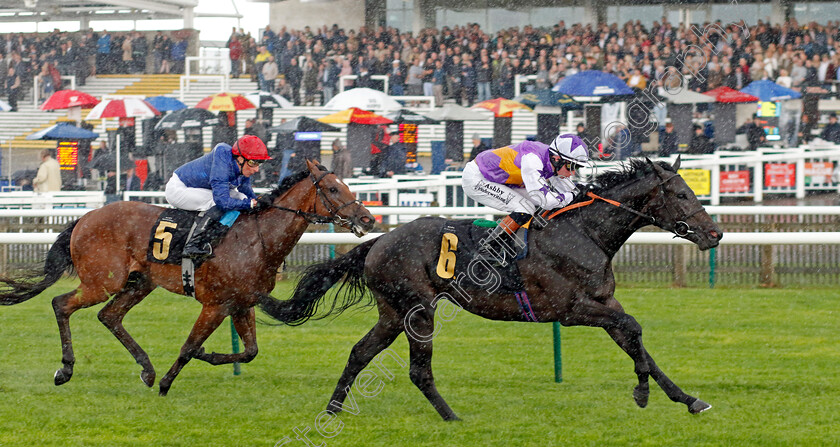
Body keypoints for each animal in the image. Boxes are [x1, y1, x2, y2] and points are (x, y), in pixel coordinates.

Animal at [0, 160, 374, 396]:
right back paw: (66, 369)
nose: (367, 219)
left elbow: (249, 351)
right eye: (332, 189)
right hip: (101, 282)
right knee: (61, 304)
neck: (258, 239)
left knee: (109, 316)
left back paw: (147, 370)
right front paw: (168, 383)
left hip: (139, 282)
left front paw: (207, 358)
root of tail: (85, 216)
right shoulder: (216, 304)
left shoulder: (242, 304)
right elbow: (189, 345)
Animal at [260, 157, 720, 420]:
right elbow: (635, 329)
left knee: (359, 352)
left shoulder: (604, 302)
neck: (584, 232)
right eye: (682, 193)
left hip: (393, 313)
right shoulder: (571, 310)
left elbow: (637, 342)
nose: (714, 234)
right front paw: (642, 393)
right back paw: (452, 417)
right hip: (419, 310)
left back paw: (333, 409)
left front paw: (689, 399)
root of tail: (379, 240)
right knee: (418, 369)